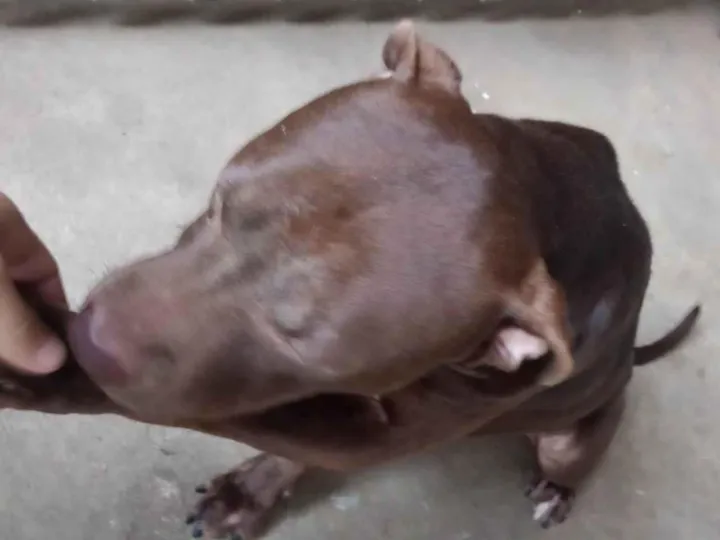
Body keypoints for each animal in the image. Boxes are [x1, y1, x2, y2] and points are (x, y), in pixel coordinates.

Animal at [0, 20, 700, 539]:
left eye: (305, 351)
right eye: (220, 205)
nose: (91, 340)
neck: (539, 200)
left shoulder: (373, 433)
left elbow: (215, 410)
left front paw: (51, 380)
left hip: (574, 433)